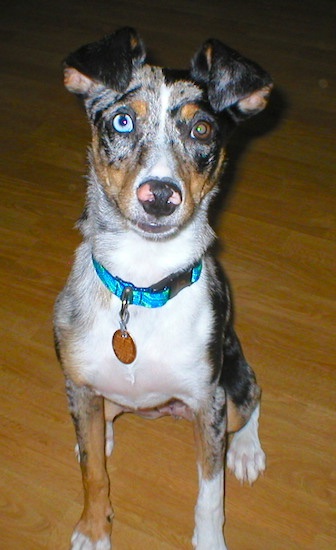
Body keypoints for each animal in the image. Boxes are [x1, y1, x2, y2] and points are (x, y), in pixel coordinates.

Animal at [53, 29, 272, 550]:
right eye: (123, 120)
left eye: (203, 131)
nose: (159, 196)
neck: (141, 285)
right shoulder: (78, 381)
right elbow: (94, 473)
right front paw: (93, 528)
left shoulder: (209, 402)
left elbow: (210, 494)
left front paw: (210, 541)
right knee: (103, 420)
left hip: (232, 378)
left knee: (252, 397)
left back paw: (246, 451)